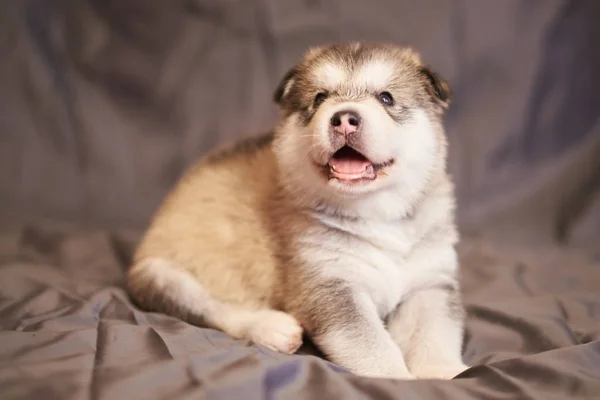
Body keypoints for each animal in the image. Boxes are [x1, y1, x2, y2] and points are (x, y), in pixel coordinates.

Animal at [127, 41, 468, 382]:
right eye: (319, 99)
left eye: (387, 98)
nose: (344, 118)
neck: (375, 212)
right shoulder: (331, 285)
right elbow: (371, 343)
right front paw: (395, 377)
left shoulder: (430, 281)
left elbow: (433, 331)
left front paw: (442, 371)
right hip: (162, 275)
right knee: (212, 309)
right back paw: (271, 327)